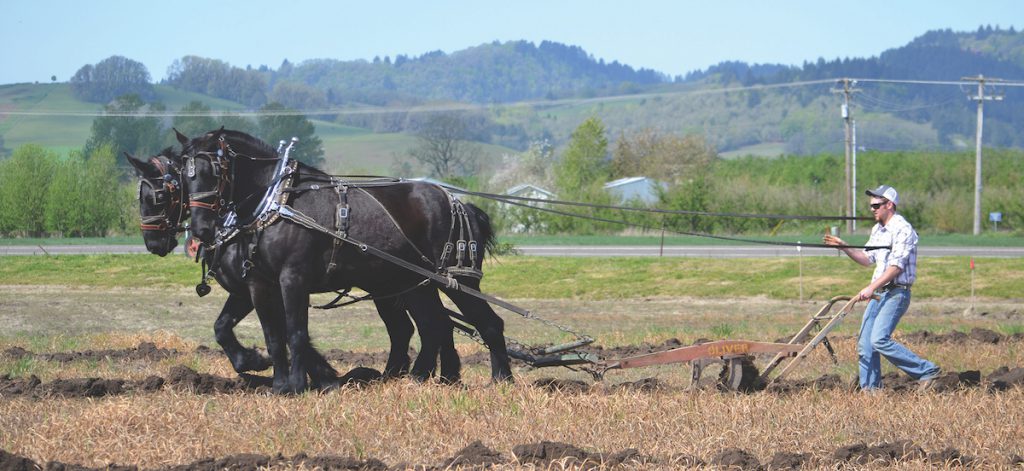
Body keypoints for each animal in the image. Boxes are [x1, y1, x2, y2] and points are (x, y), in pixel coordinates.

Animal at [177, 128, 511, 393]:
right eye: (183, 176)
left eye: (213, 170)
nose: (201, 229)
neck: (276, 203)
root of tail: (460, 203)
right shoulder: (258, 284)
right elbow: (264, 333)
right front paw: (273, 378)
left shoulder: (293, 278)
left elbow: (295, 333)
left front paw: (298, 384)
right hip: (413, 283)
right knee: (432, 326)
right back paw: (418, 379)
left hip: (456, 279)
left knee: (487, 323)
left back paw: (500, 380)